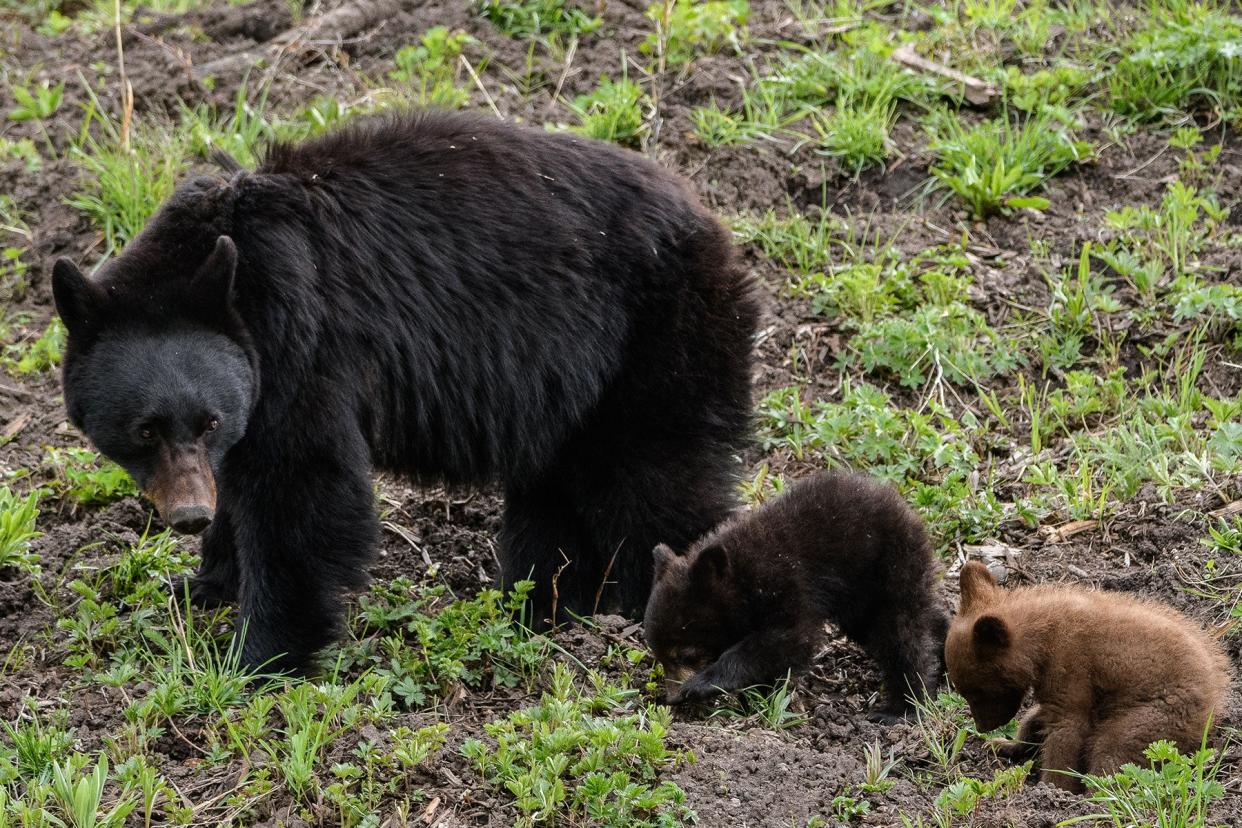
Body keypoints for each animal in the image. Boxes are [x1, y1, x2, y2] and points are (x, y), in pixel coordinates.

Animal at [53, 109, 755, 675]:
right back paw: (542, 607)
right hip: (572, 389)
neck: (233, 271)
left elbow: (302, 489)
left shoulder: (304, 347)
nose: (187, 515)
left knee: (656, 481)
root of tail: (713, 224)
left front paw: (258, 656)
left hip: (656, 341)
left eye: (207, 421)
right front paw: (204, 582)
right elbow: (247, 480)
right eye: (146, 428)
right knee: (556, 493)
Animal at [645, 469, 943, 720]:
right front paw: (754, 697)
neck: (742, 578)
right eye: (658, 654)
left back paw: (901, 707)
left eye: (685, 653)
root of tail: (906, 508)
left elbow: (789, 639)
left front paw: (702, 683)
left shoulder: (787, 584)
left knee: (901, 633)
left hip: (888, 567)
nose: (673, 698)